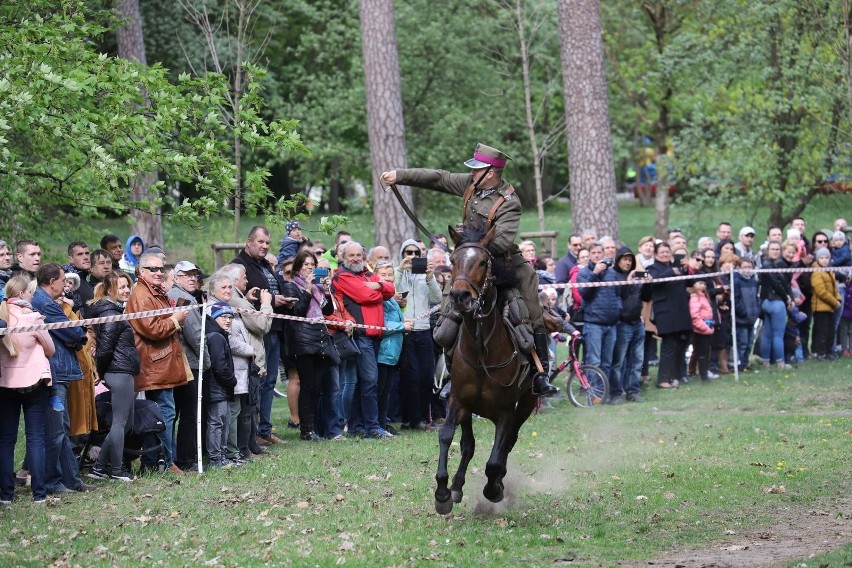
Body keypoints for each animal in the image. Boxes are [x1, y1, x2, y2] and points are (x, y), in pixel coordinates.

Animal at [436, 225, 536, 516]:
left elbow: (495, 458)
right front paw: (443, 492)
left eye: (483, 262)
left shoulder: (506, 411)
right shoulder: (458, 401)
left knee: (508, 443)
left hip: (528, 402)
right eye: (452, 260)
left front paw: (494, 488)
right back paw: (457, 486)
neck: (482, 350)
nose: (459, 296)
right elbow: (447, 436)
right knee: (469, 445)